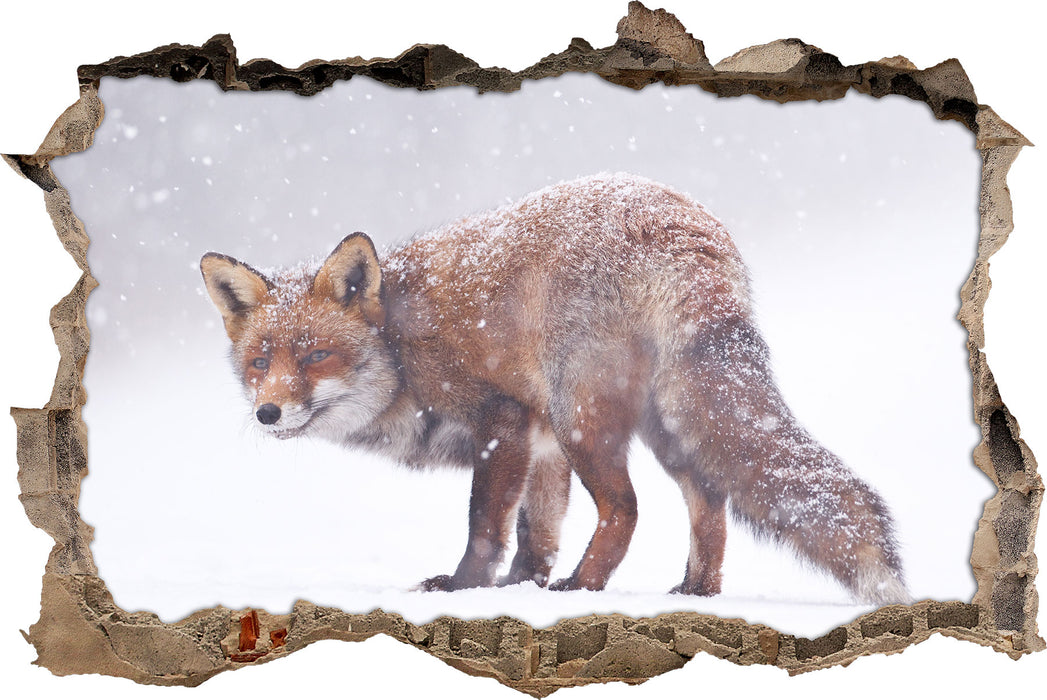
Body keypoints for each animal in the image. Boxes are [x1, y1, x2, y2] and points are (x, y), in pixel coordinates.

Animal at [200, 173, 910, 604]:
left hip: (584, 419)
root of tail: (680, 224)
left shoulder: (505, 420)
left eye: (317, 355)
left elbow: (486, 525)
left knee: (626, 509)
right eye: (260, 361)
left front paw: (466, 589)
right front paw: (523, 589)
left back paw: (584, 588)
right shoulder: (540, 446)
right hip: (664, 425)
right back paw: (694, 592)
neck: (401, 347)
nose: (268, 412)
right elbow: (535, 532)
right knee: (710, 502)